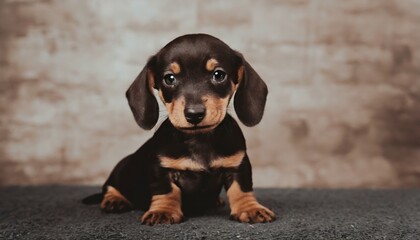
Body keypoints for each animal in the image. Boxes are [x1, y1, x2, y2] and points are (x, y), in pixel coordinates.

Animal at [83, 33, 276, 225]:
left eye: (219, 74)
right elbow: (166, 191)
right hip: (120, 172)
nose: (194, 114)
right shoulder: (161, 169)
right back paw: (114, 200)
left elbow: (241, 189)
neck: (200, 139)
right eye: (169, 78)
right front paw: (163, 211)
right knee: (110, 186)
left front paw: (250, 208)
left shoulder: (238, 165)